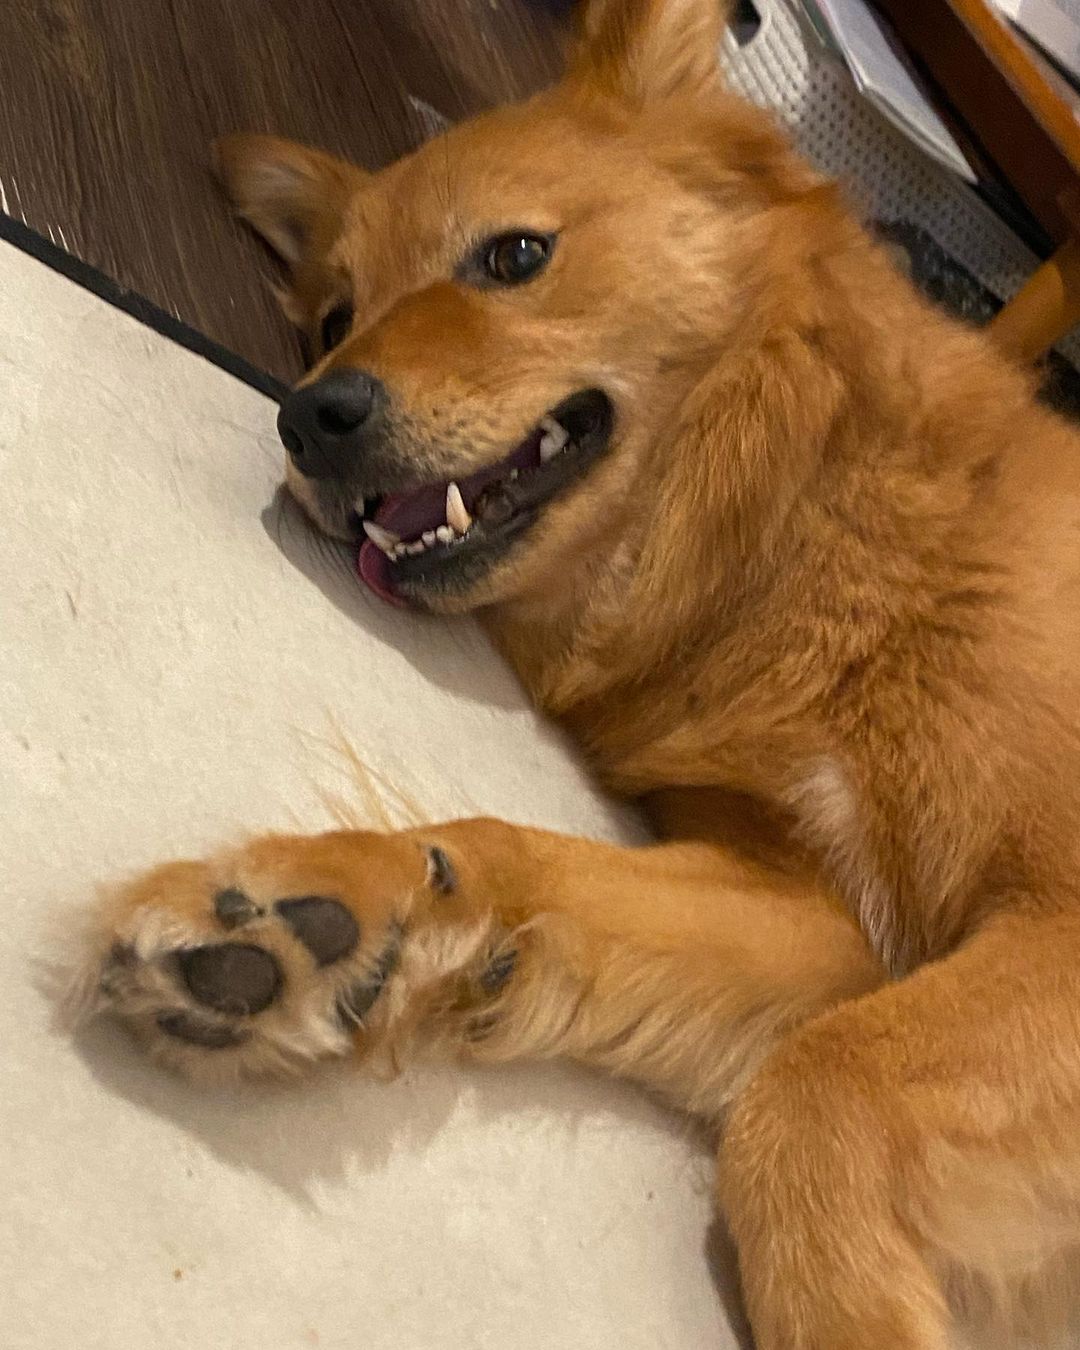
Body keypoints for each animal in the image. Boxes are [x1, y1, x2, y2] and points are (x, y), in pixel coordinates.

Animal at [78, 1, 1080, 1344]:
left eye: (512, 257)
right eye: (337, 317)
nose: (307, 418)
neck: (807, 529)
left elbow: (812, 1093)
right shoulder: (824, 925)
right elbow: (534, 863)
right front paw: (348, 908)